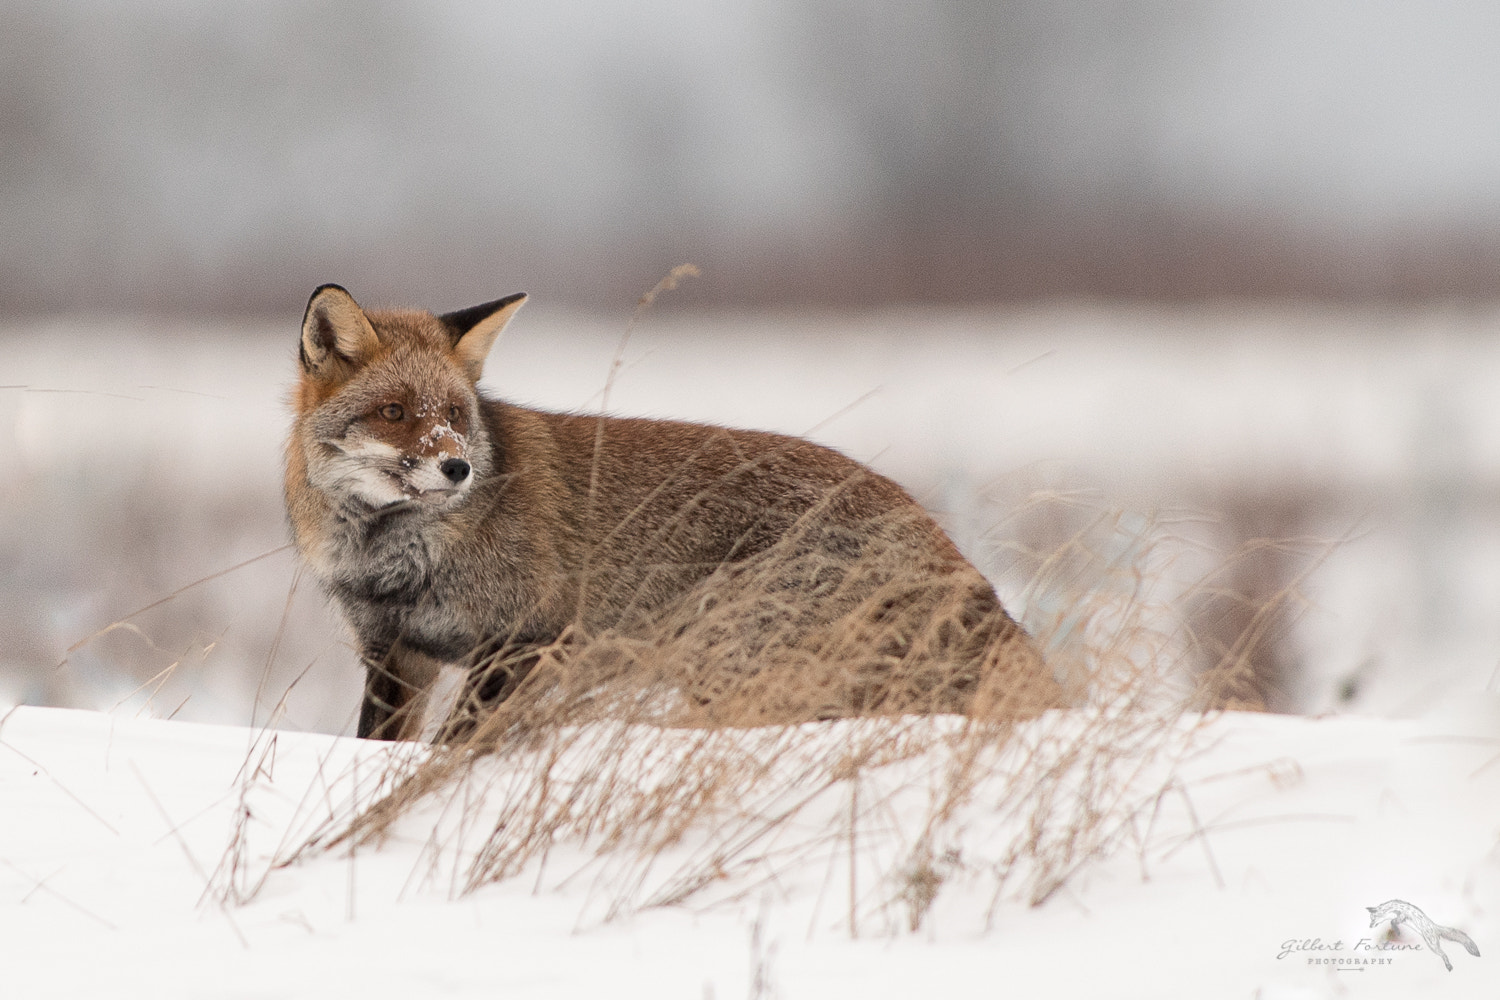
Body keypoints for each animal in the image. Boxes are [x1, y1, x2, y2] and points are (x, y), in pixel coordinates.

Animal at [283, 284, 1056, 740]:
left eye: (453, 416)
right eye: (394, 413)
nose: (458, 468)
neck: (397, 558)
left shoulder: (526, 641)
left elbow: (454, 748)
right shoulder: (395, 650)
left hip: (734, 664)